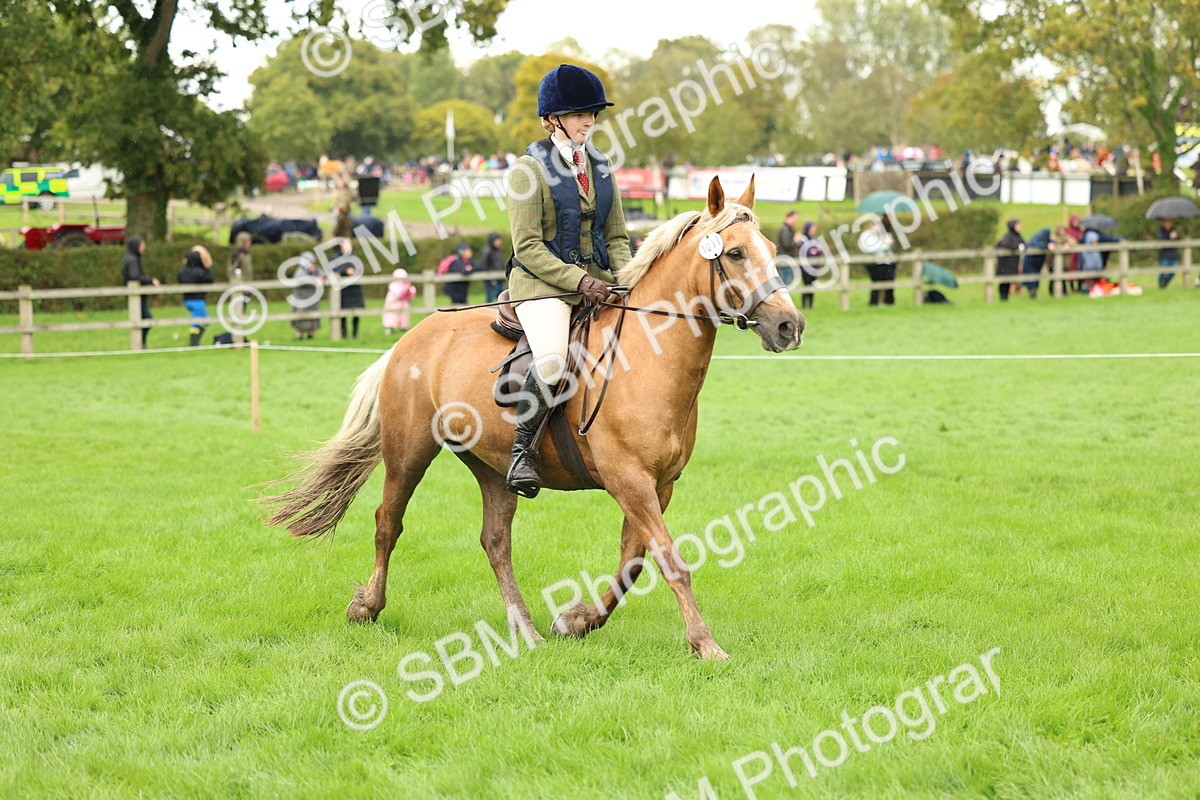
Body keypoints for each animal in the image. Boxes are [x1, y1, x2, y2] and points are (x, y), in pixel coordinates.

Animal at [263, 176, 804, 659]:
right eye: (735, 254)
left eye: (772, 249)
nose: (789, 326)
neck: (647, 356)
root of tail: (410, 337)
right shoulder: (630, 480)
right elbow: (670, 560)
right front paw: (705, 644)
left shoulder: (658, 485)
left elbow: (632, 562)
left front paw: (577, 621)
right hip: (409, 451)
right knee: (387, 523)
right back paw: (368, 607)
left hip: (492, 466)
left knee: (495, 541)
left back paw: (526, 630)